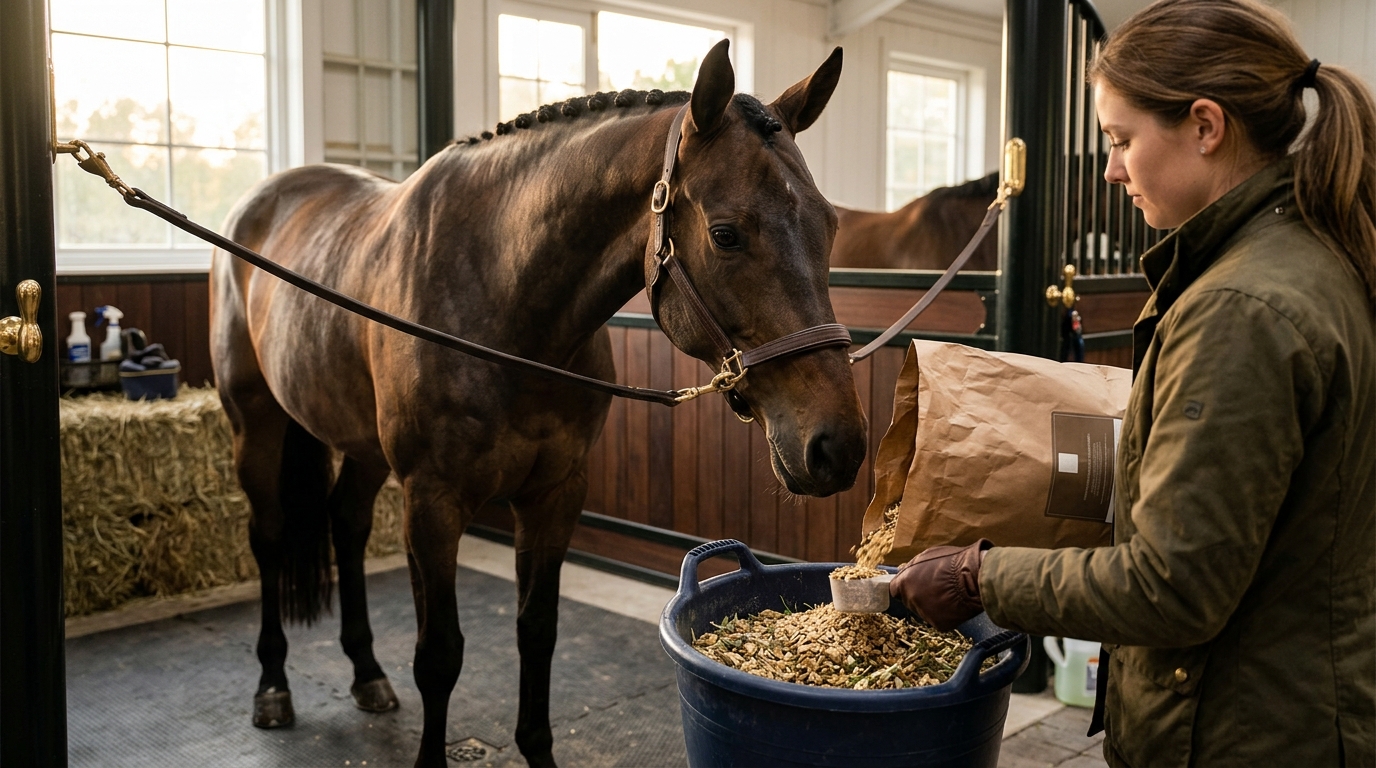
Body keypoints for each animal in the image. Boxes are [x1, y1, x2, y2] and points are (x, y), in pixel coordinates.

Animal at [209, 40, 867, 768]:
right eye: (726, 234)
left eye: (831, 224)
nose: (837, 445)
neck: (502, 300)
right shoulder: (432, 502)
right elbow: (439, 654)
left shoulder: (554, 493)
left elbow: (538, 632)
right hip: (255, 425)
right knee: (269, 537)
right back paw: (272, 686)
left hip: (361, 448)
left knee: (346, 526)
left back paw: (367, 674)